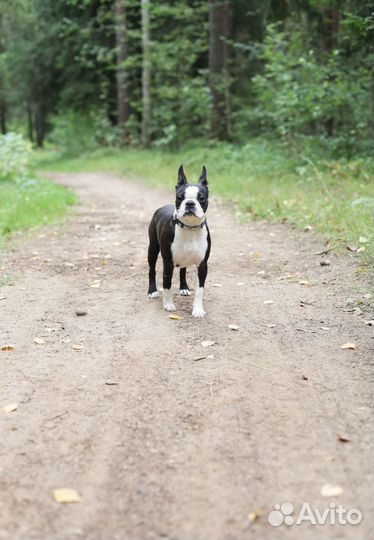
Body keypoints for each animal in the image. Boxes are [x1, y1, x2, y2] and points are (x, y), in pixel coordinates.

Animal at [148, 165, 210, 316]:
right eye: (180, 197)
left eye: (201, 198)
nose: (190, 203)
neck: (190, 228)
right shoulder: (168, 262)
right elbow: (167, 284)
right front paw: (168, 305)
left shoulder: (203, 264)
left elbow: (200, 289)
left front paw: (198, 310)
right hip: (152, 248)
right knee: (151, 270)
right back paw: (152, 291)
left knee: (182, 271)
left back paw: (184, 288)